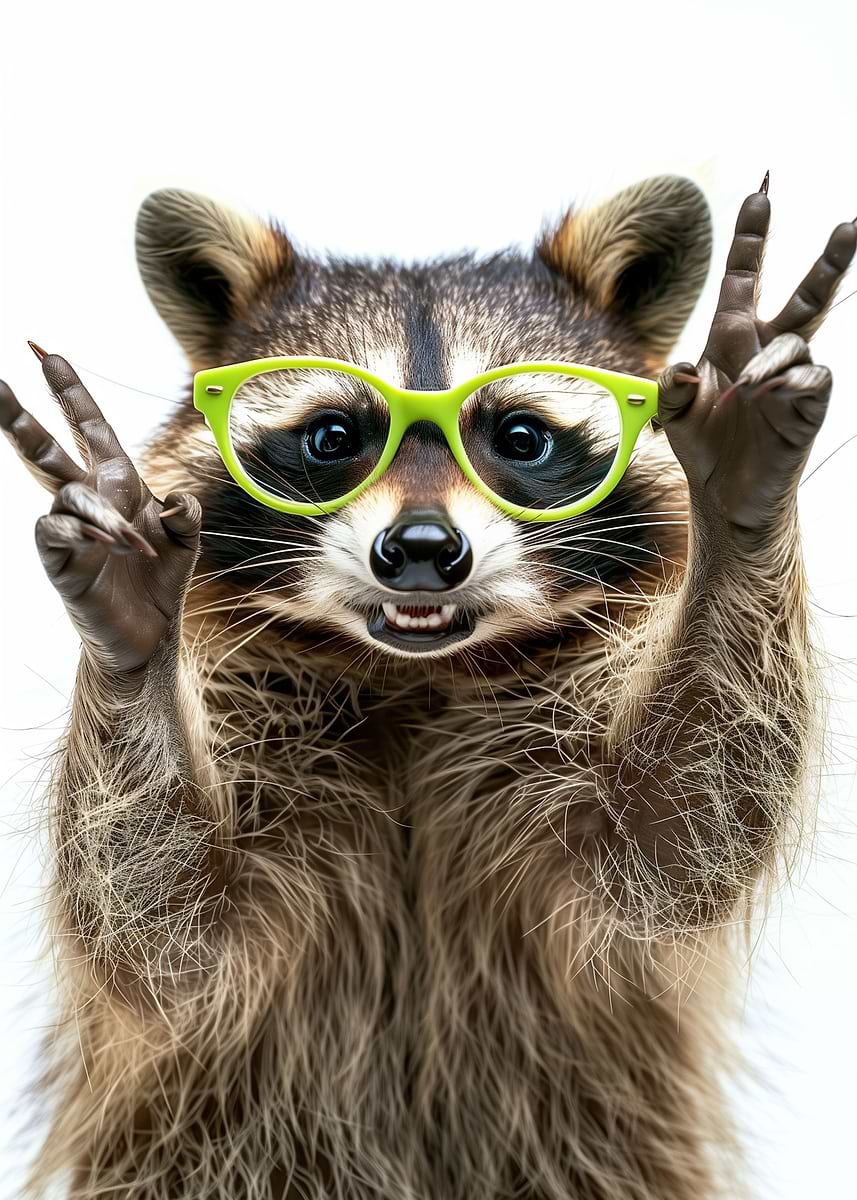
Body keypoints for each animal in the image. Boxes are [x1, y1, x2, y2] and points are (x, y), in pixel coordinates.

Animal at [2, 175, 854, 1200]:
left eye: (520, 437)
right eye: (334, 436)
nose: (418, 550)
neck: (419, 675)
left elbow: (674, 839)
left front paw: (738, 487)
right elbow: (161, 923)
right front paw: (130, 617)